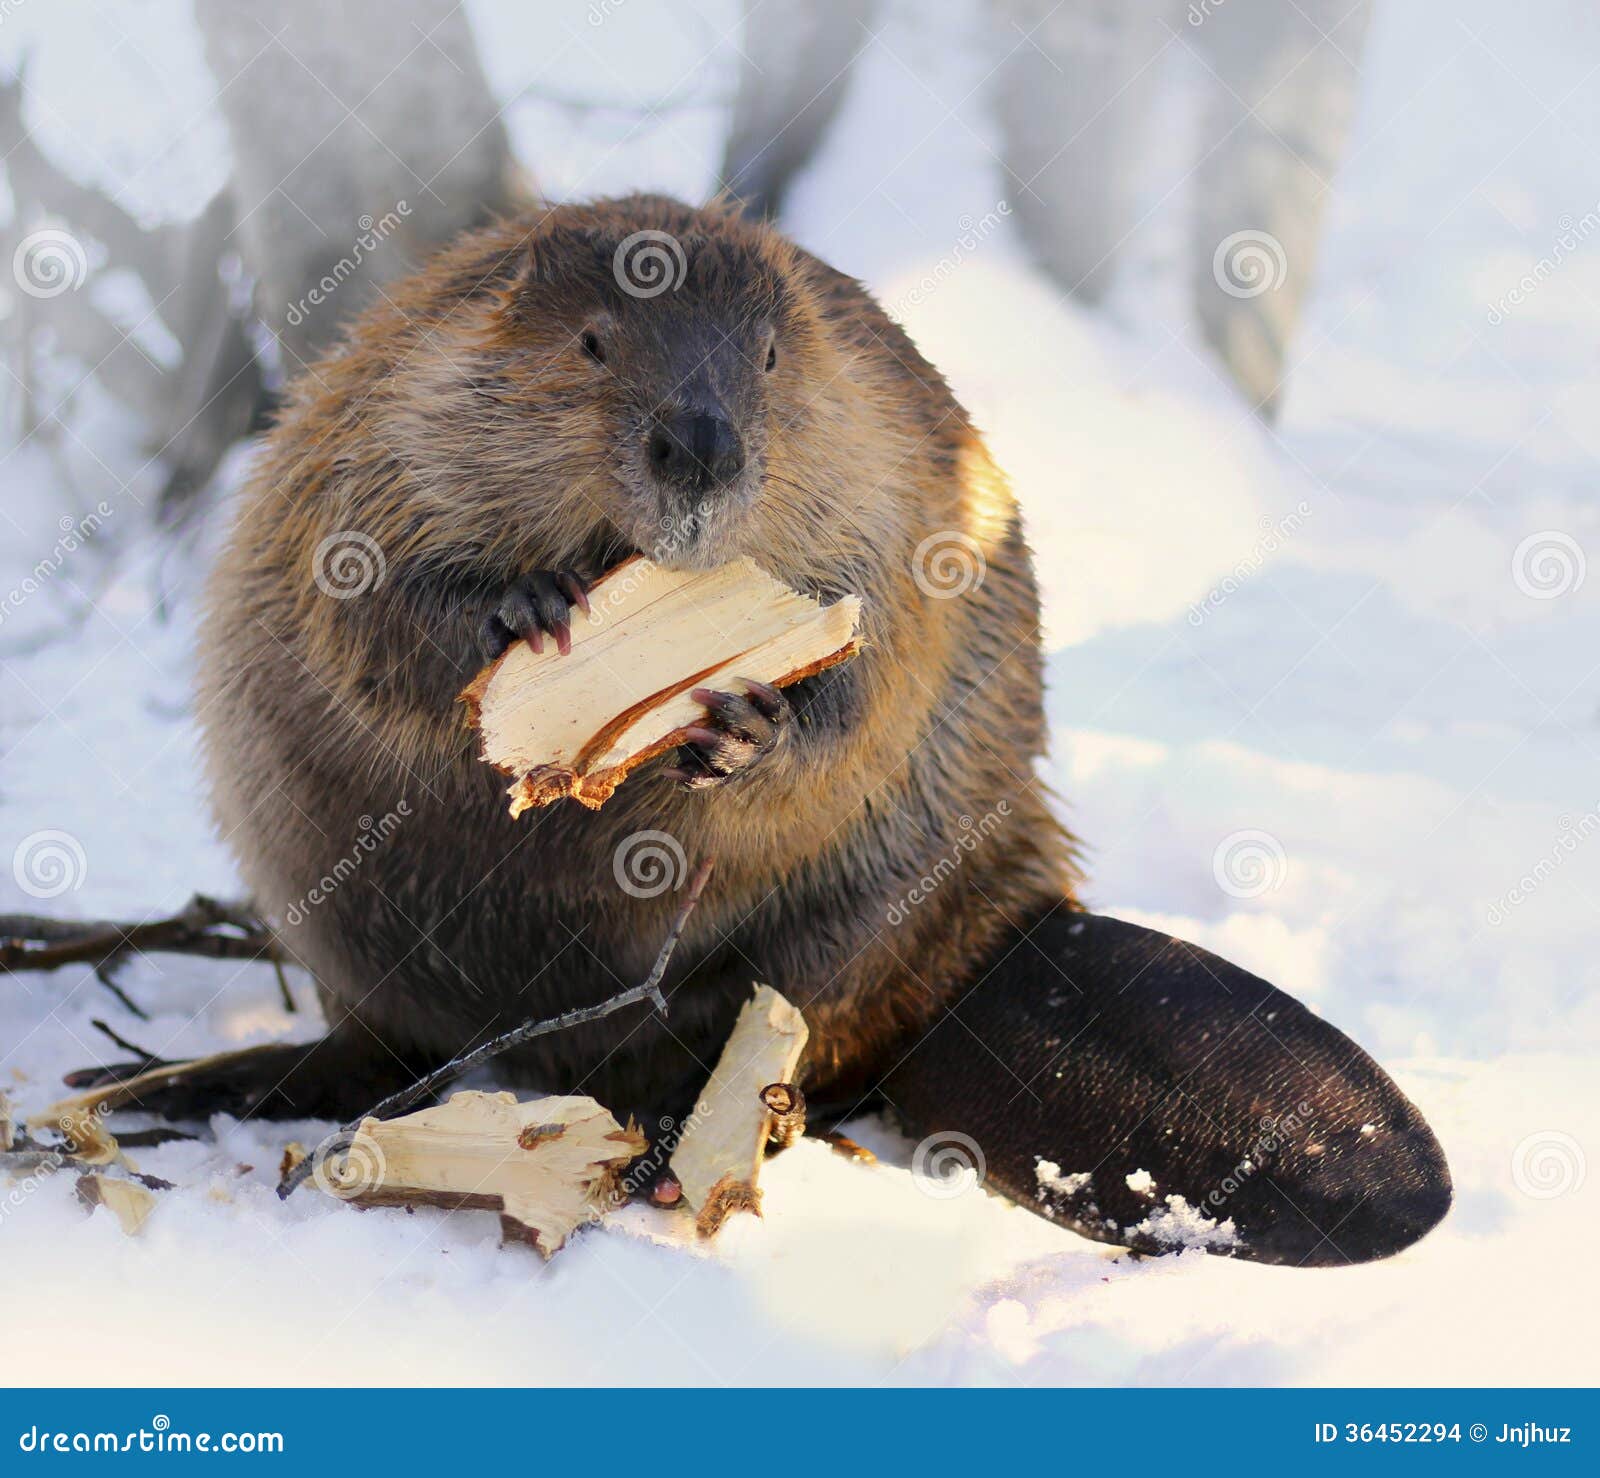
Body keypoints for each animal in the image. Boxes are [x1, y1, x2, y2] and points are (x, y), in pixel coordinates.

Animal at [106, 190, 1446, 1266]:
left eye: (761, 356)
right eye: (591, 341)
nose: (697, 447)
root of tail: (1002, 941)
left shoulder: (888, 482)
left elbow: (872, 679)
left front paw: (747, 724)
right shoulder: (385, 421)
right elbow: (364, 598)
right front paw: (523, 609)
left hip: (858, 923)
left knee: (784, 1041)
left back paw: (671, 1143)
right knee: (375, 1039)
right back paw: (171, 1087)